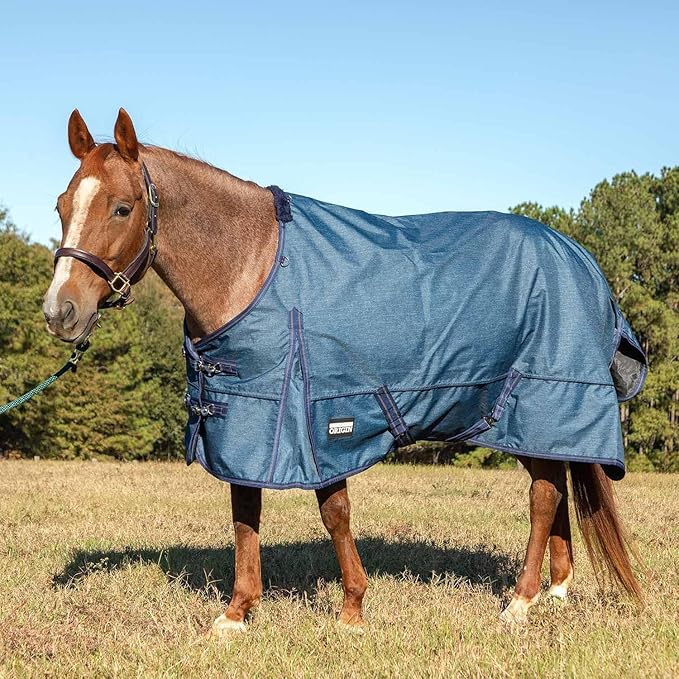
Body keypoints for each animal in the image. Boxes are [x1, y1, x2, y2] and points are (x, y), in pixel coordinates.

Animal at [43, 108, 643, 635]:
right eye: (62, 205)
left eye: (122, 208)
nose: (59, 311)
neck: (251, 265)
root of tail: (578, 256)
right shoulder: (247, 420)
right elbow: (244, 512)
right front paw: (237, 613)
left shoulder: (318, 416)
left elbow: (334, 513)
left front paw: (352, 609)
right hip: (523, 419)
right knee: (557, 483)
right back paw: (555, 590)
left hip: (539, 400)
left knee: (543, 495)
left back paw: (519, 603)